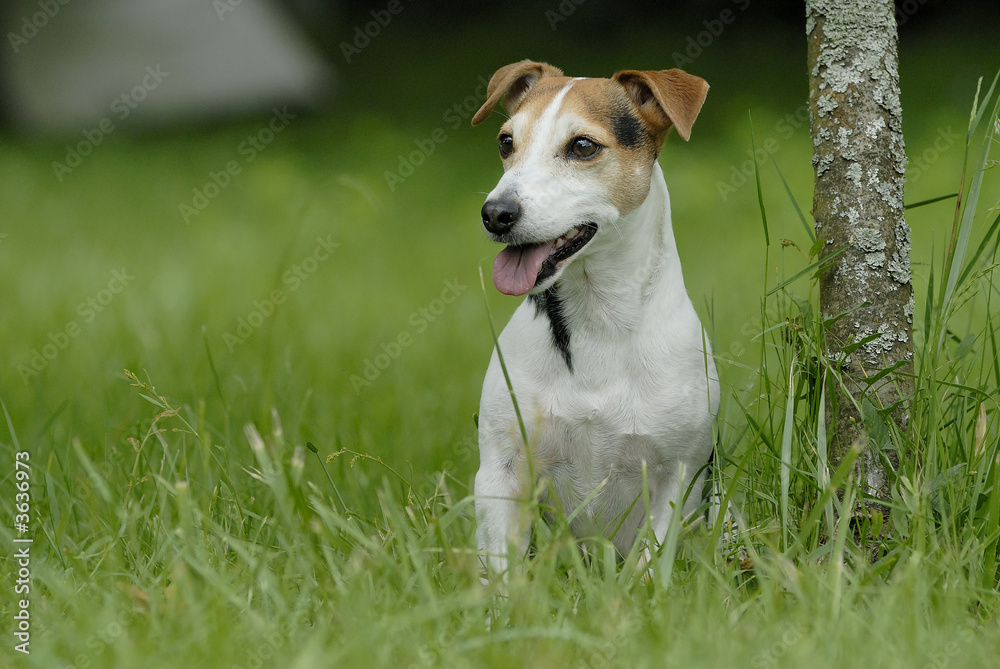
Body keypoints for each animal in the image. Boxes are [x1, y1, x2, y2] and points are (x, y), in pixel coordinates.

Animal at [470, 60, 720, 576]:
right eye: (505, 142)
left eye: (583, 146)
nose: (496, 213)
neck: (599, 317)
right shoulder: (501, 470)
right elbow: (502, 569)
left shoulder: (678, 473)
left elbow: (650, 564)